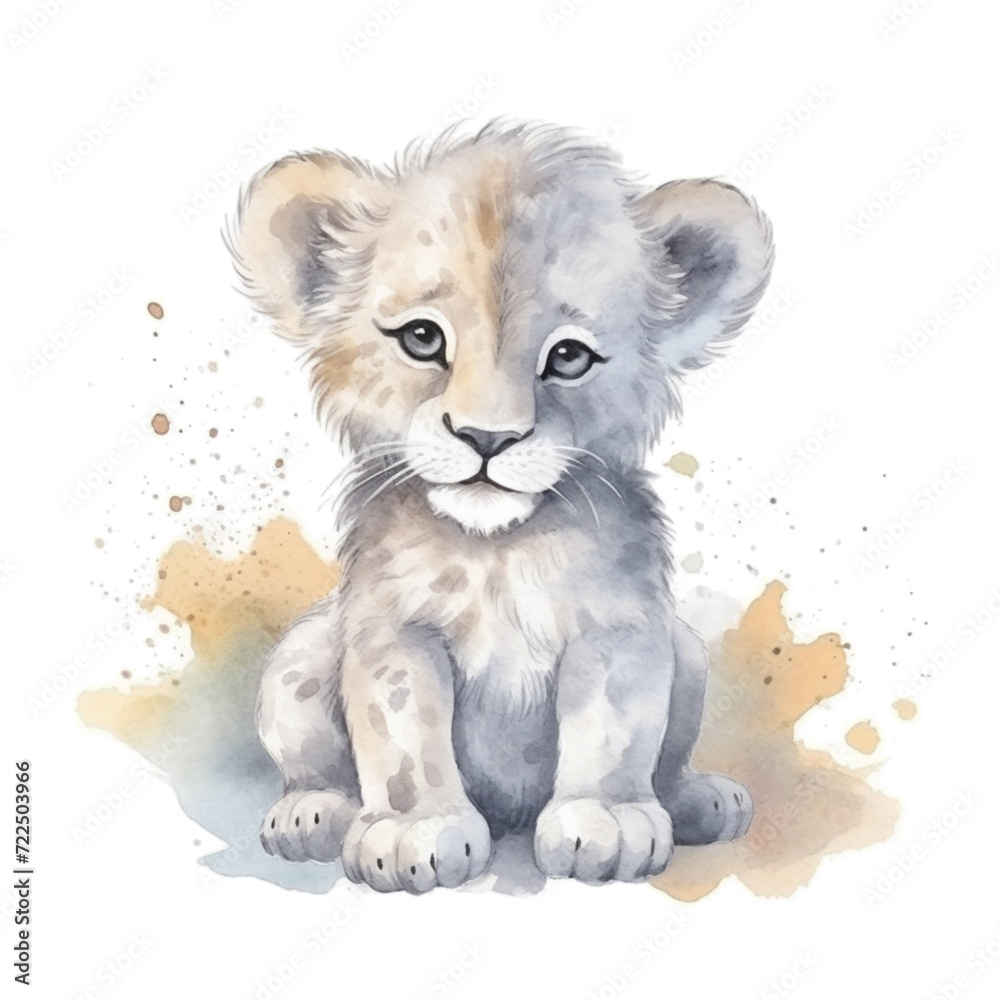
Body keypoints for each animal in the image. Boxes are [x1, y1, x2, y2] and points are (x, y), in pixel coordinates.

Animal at [229, 120, 773, 893]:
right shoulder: (395, 633)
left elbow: (613, 734)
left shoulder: (618, 630)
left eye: (569, 356)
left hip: (690, 654)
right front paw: (413, 832)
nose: (488, 437)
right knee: (314, 759)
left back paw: (700, 801)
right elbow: (403, 740)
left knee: (669, 762)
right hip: (296, 660)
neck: (495, 551)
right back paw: (311, 815)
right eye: (422, 337)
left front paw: (605, 822)